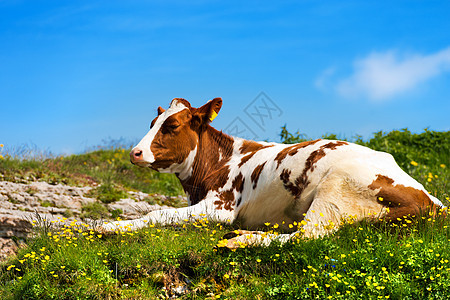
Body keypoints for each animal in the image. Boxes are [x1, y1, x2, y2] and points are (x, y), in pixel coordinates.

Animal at [101, 97, 442, 245]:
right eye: (152, 122)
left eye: (171, 126)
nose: (135, 153)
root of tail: (429, 201)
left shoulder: (220, 207)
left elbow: (158, 213)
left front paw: (106, 226)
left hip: (335, 191)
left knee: (305, 237)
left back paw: (237, 240)